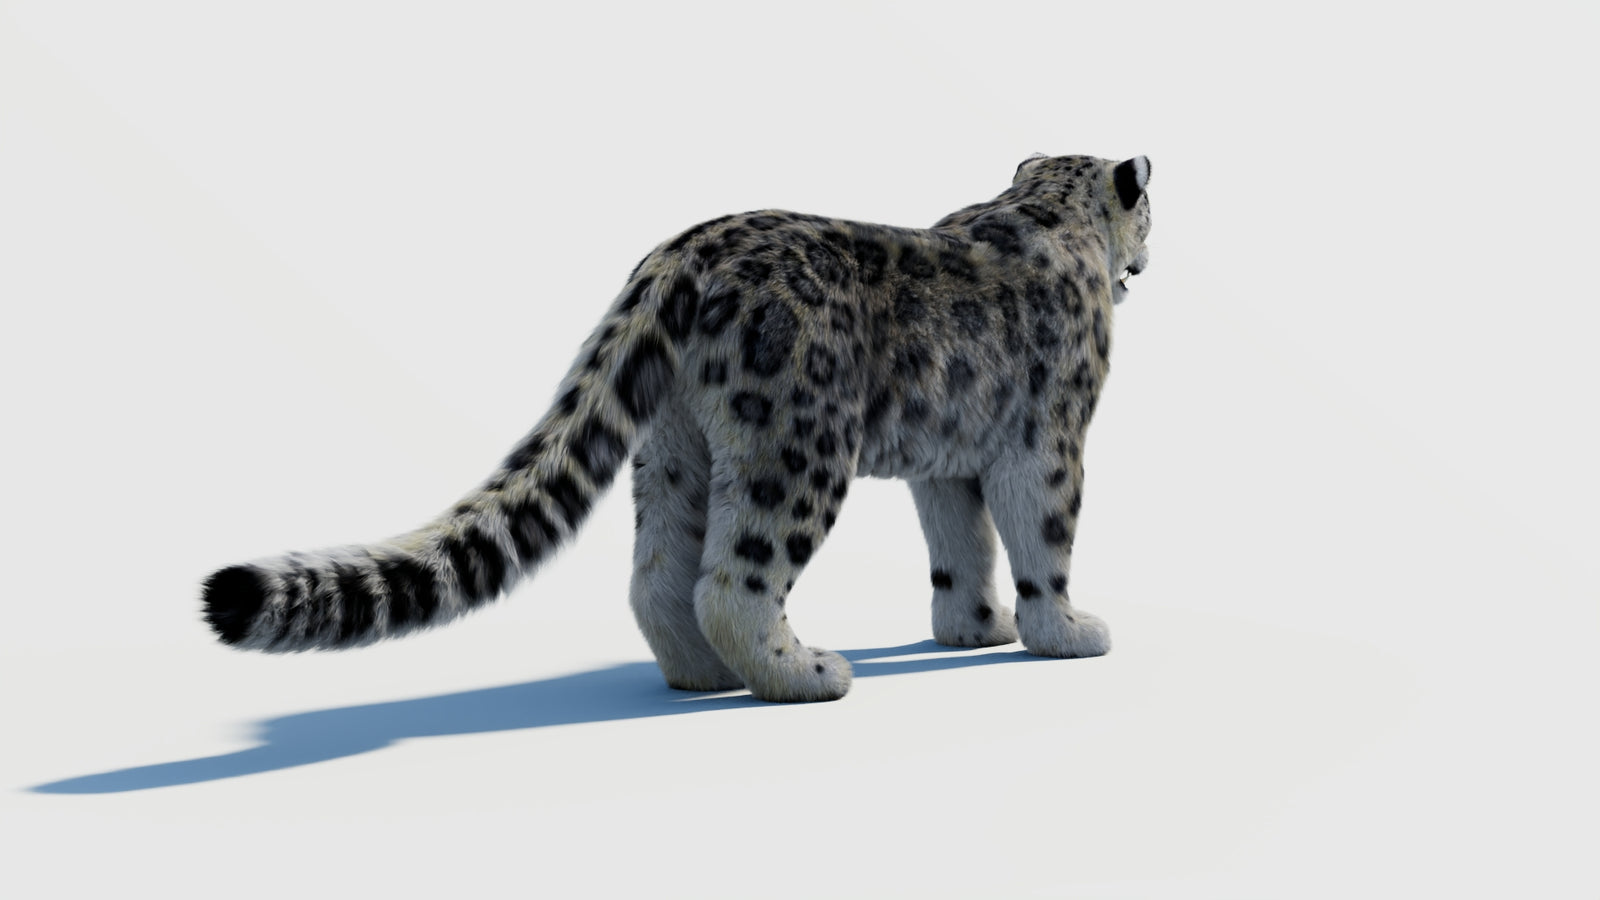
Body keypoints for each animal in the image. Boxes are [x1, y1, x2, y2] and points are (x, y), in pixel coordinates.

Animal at [201, 153, 1153, 702]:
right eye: (1150, 208)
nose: (1148, 254)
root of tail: (679, 254)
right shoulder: (1050, 437)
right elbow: (1041, 537)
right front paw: (1068, 634)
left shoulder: (948, 459)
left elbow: (962, 542)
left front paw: (973, 628)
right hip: (796, 446)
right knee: (736, 578)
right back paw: (804, 673)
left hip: (676, 445)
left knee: (658, 573)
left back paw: (700, 676)